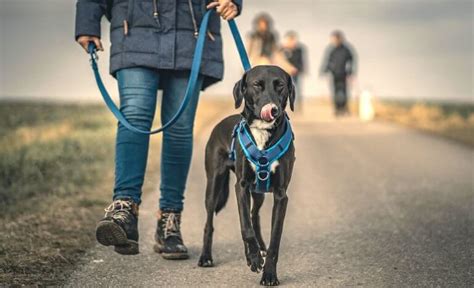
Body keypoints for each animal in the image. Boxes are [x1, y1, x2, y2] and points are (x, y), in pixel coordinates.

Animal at [197, 66, 294, 286]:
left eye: (280, 85)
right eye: (257, 85)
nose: (273, 109)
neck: (263, 132)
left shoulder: (281, 195)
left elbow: (274, 237)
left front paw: (269, 273)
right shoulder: (240, 187)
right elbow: (245, 228)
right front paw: (255, 258)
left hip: (258, 192)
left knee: (253, 215)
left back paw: (258, 249)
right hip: (214, 185)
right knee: (210, 223)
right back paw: (206, 257)